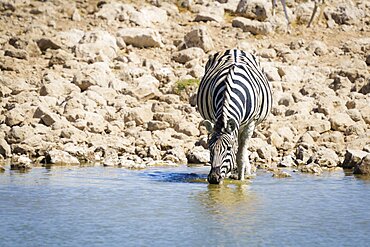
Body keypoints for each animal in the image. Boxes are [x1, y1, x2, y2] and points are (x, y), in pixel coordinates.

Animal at [197, 48, 272, 183]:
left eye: (228, 149)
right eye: (210, 149)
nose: (214, 178)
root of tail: (235, 49)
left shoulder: (251, 123)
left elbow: (240, 155)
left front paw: (241, 180)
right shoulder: (214, 118)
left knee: (242, 147)